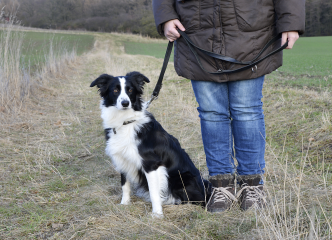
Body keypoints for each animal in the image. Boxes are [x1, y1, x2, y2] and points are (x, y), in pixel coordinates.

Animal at [91, 71, 210, 218]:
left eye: (130, 90)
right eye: (115, 90)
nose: (125, 103)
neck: (126, 122)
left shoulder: (151, 164)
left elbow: (154, 192)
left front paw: (157, 214)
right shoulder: (122, 159)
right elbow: (125, 185)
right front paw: (124, 204)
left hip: (183, 178)